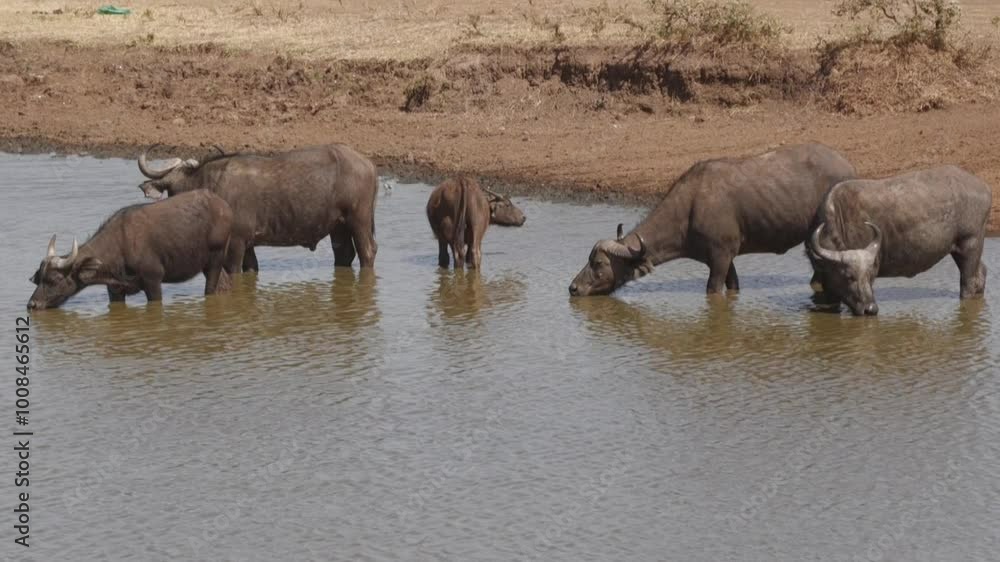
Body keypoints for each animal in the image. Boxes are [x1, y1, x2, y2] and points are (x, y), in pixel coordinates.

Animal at [28, 191, 233, 310]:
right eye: (38, 278)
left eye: (54, 280)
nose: (32, 304)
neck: (120, 246)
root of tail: (223, 206)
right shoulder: (115, 290)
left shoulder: (153, 281)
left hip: (216, 259)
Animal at [137, 143, 378, 272]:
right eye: (170, 188)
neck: (213, 188)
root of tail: (368, 164)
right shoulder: (248, 245)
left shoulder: (235, 245)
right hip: (338, 228)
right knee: (345, 255)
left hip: (359, 221)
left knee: (367, 251)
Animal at [568, 143, 857, 296]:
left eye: (598, 263)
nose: (573, 288)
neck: (690, 209)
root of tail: (849, 169)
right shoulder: (725, 259)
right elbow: (734, 287)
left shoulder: (719, 258)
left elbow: (712, 290)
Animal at [807, 165, 992, 316]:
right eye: (848, 276)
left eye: (869, 275)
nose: (870, 309)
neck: (840, 217)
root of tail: (984, 188)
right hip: (960, 251)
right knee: (981, 273)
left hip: (970, 244)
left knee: (969, 283)